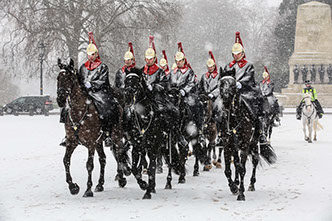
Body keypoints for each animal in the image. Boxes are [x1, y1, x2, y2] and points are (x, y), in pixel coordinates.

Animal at [56, 58, 126, 197]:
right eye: (58, 78)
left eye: (70, 77)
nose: (60, 99)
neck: (79, 112)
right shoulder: (71, 142)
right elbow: (66, 161)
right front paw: (73, 187)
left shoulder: (91, 143)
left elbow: (89, 165)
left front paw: (88, 190)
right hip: (99, 142)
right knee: (103, 159)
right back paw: (100, 184)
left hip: (116, 136)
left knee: (119, 154)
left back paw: (121, 178)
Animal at [122, 68, 182, 199]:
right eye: (126, 80)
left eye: (136, 81)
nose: (127, 96)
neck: (144, 117)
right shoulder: (137, 146)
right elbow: (134, 168)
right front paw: (144, 185)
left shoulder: (154, 145)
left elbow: (151, 168)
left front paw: (147, 191)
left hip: (168, 143)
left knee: (169, 162)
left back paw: (168, 183)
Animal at [219, 73, 276, 201]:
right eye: (221, 84)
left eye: (233, 85)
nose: (225, 99)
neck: (234, 119)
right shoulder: (227, 145)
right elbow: (228, 170)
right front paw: (233, 187)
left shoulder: (245, 145)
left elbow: (242, 169)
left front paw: (241, 193)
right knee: (236, 162)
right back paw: (236, 182)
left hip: (253, 143)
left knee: (255, 160)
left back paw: (251, 184)